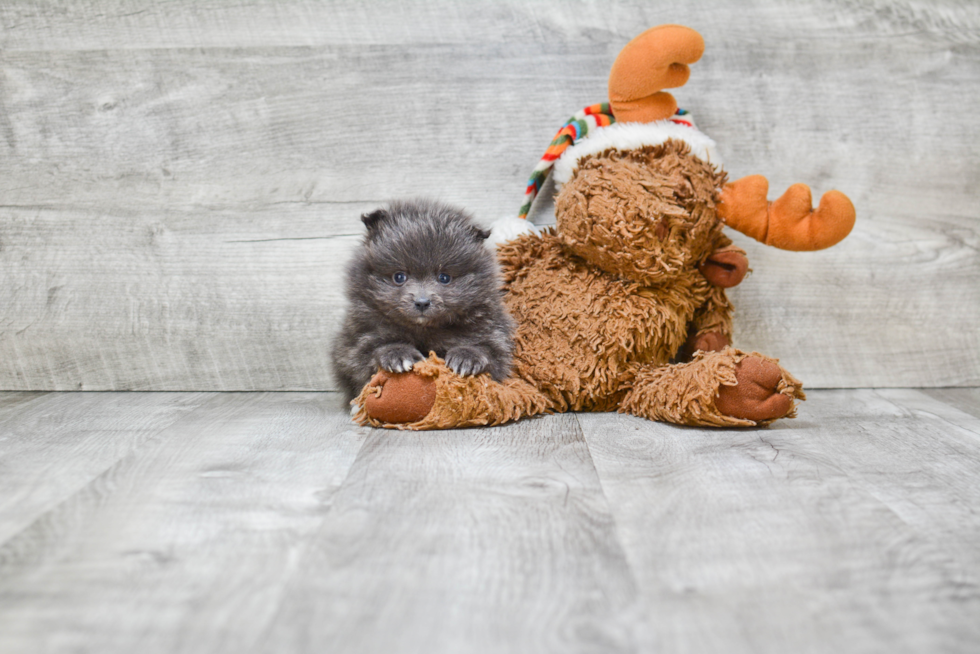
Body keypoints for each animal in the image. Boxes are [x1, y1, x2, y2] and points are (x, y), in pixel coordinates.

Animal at [330, 200, 512, 404]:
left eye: (444, 277)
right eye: (399, 276)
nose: (422, 302)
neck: (424, 330)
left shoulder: (493, 330)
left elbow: (489, 351)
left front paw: (467, 358)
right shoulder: (357, 337)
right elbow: (371, 351)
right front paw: (397, 355)